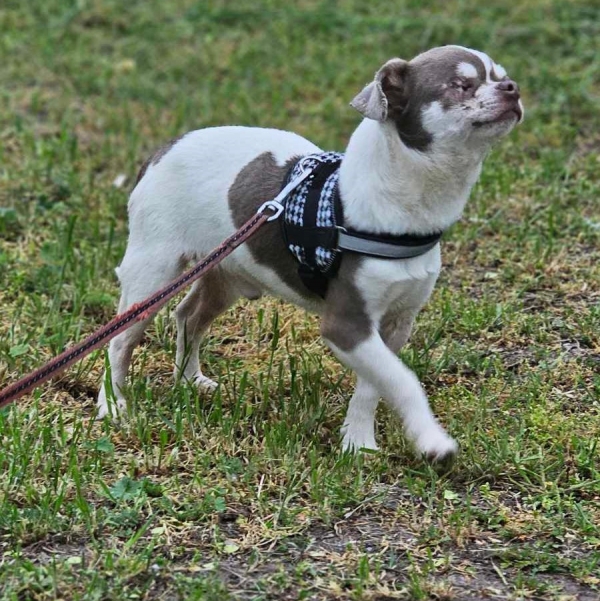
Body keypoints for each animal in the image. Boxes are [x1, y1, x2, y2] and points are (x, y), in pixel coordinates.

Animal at [97, 45, 523, 462]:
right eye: (461, 85)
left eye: (502, 76)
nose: (513, 88)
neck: (409, 208)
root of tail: (162, 149)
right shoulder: (347, 323)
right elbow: (402, 379)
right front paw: (431, 440)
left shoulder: (394, 323)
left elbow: (375, 383)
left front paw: (358, 442)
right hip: (153, 274)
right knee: (119, 342)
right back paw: (113, 406)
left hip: (225, 271)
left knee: (188, 315)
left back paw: (189, 381)